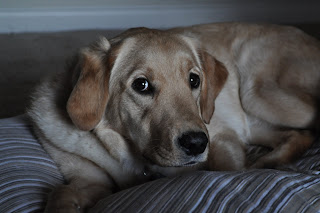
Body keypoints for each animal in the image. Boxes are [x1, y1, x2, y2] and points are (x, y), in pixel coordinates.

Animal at [28, 22, 320, 212]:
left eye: (194, 80)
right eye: (141, 85)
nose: (196, 144)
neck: (137, 161)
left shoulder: (222, 135)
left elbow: (228, 169)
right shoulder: (88, 181)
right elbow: (60, 193)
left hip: (259, 95)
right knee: (299, 135)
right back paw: (270, 161)